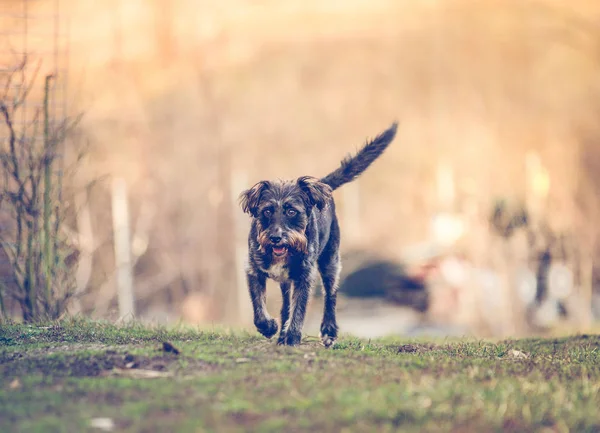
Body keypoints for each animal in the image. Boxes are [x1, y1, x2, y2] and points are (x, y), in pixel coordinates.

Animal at [239, 122, 398, 348]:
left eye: (291, 211)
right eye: (267, 211)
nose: (276, 238)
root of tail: (321, 185)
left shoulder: (305, 275)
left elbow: (299, 309)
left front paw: (292, 337)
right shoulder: (253, 269)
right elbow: (258, 308)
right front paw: (269, 327)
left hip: (330, 262)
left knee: (330, 295)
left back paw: (328, 331)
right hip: (288, 280)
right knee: (286, 304)